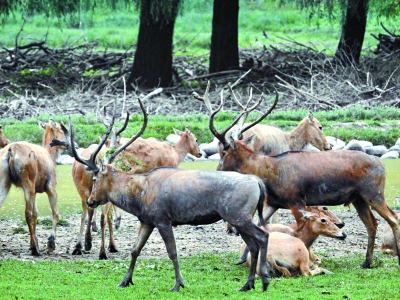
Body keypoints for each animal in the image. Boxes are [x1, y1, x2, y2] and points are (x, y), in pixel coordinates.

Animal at [54, 99, 270, 292]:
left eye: (95, 179)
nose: (91, 201)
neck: (139, 197)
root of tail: (258, 183)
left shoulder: (162, 218)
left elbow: (172, 252)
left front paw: (178, 284)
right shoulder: (147, 221)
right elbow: (134, 250)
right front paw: (125, 281)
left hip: (238, 215)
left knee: (263, 235)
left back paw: (264, 279)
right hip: (239, 217)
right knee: (253, 244)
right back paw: (248, 284)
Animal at [205, 85, 400, 270]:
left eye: (224, 152)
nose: (218, 169)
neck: (268, 174)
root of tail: (381, 163)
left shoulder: (296, 200)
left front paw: (310, 261)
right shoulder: (274, 202)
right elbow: (261, 226)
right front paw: (242, 259)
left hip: (374, 193)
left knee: (393, 218)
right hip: (359, 198)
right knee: (372, 223)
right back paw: (366, 262)